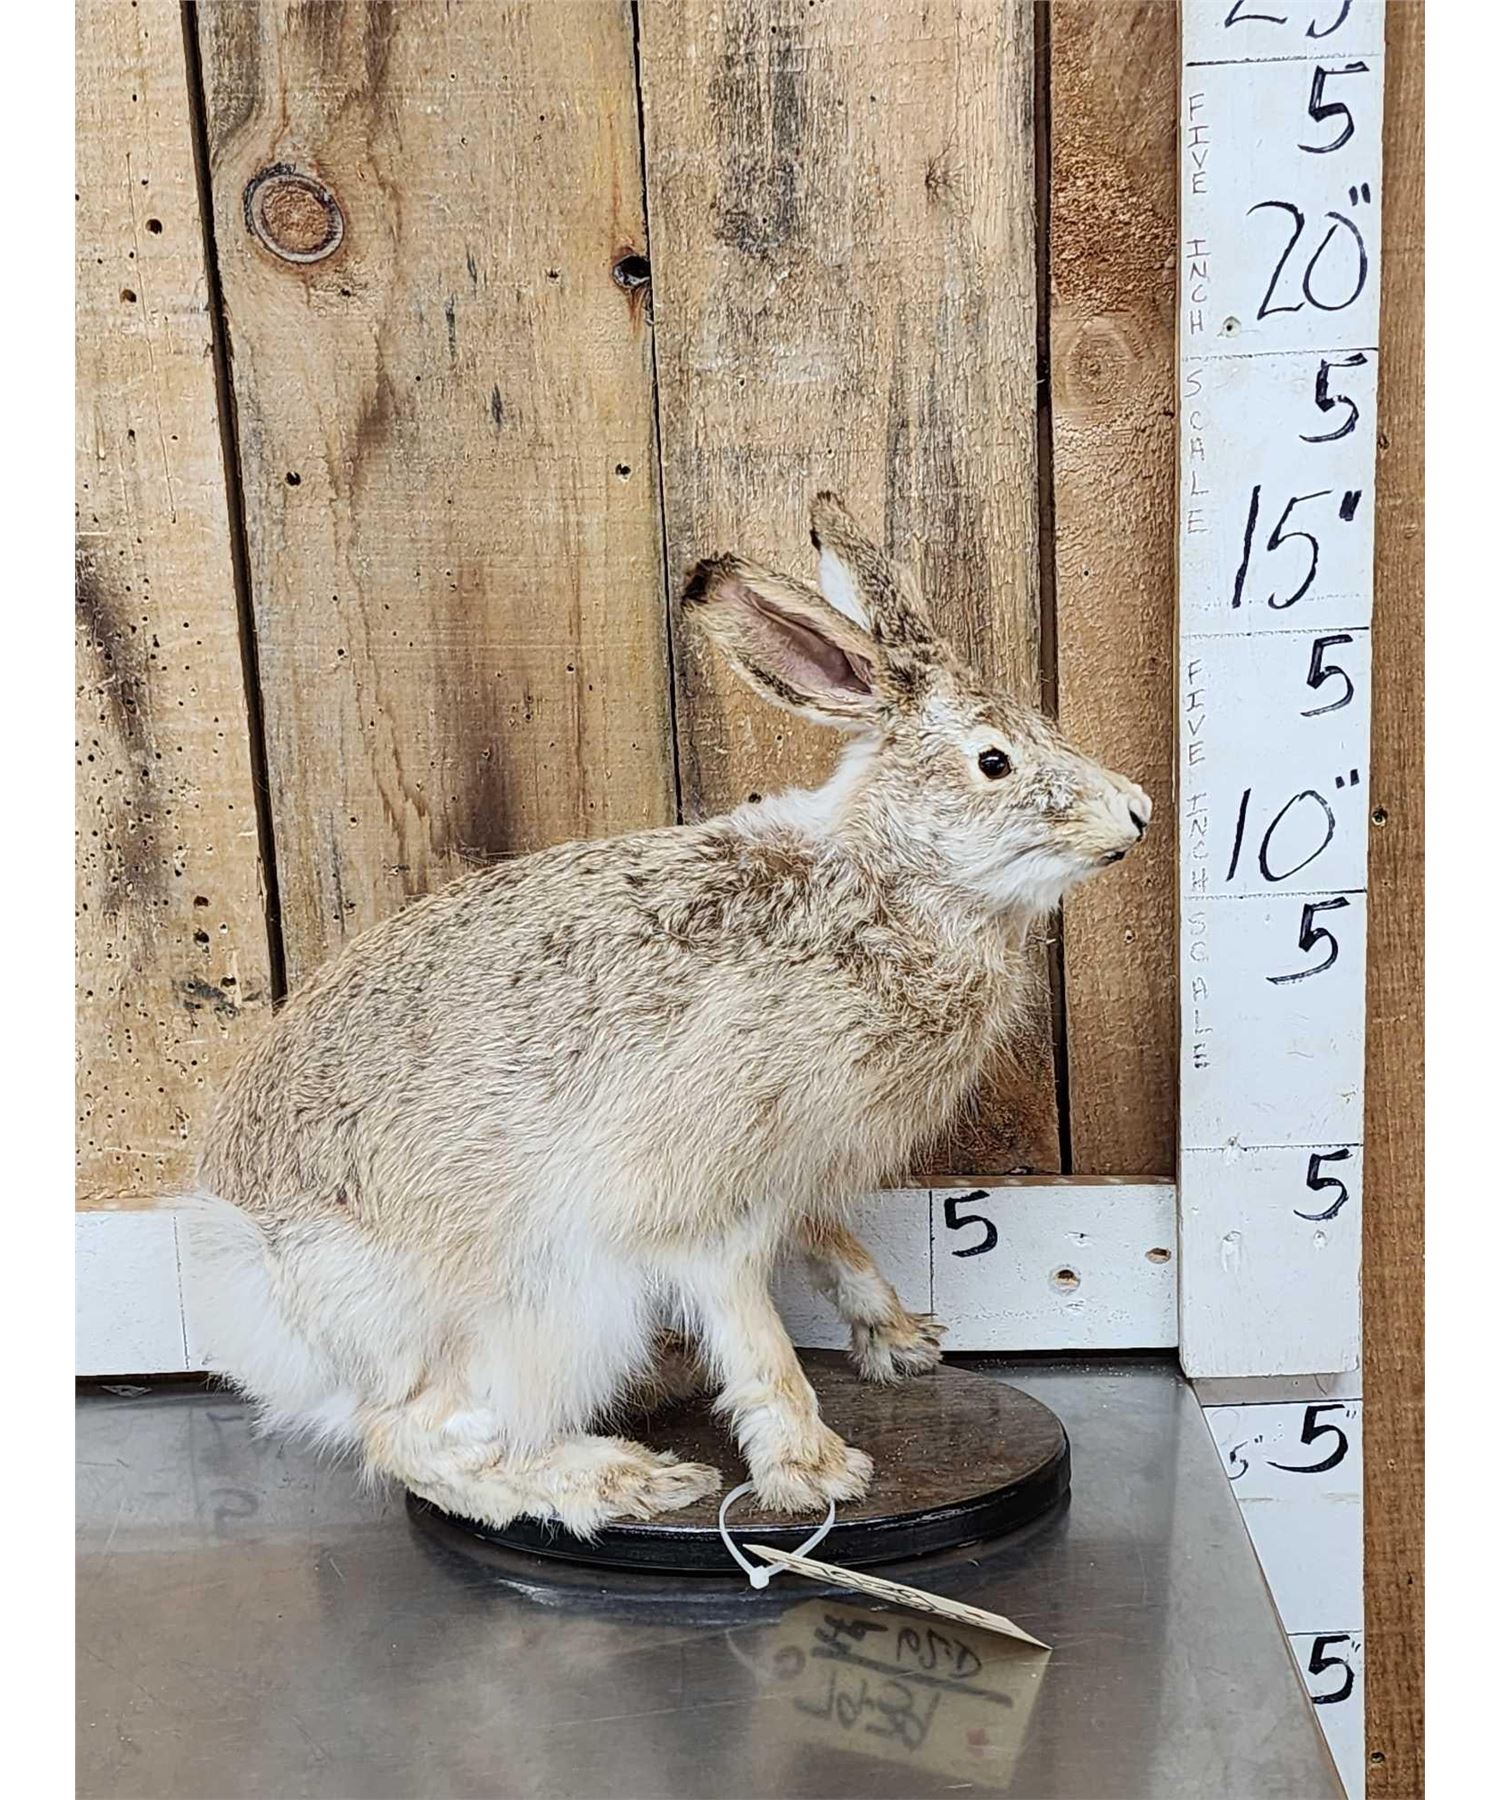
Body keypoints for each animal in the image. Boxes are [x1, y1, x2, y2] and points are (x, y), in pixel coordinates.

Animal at [186, 492, 1151, 1537]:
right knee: (416, 1439)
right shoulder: (700, 1201)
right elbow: (756, 1333)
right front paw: (817, 1473)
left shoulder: (797, 1173)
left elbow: (836, 1248)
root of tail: (253, 1280)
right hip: (558, 1307)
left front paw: (903, 1340)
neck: (881, 884)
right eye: (994, 761)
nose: (1137, 812)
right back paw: (626, 1481)